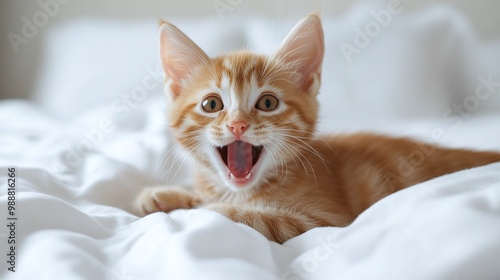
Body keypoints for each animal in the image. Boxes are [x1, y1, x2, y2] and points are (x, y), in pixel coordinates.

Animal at [134, 14, 500, 244]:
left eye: (267, 103)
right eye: (212, 105)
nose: (238, 124)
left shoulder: (323, 220)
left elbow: (248, 215)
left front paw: (194, 209)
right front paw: (165, 194)